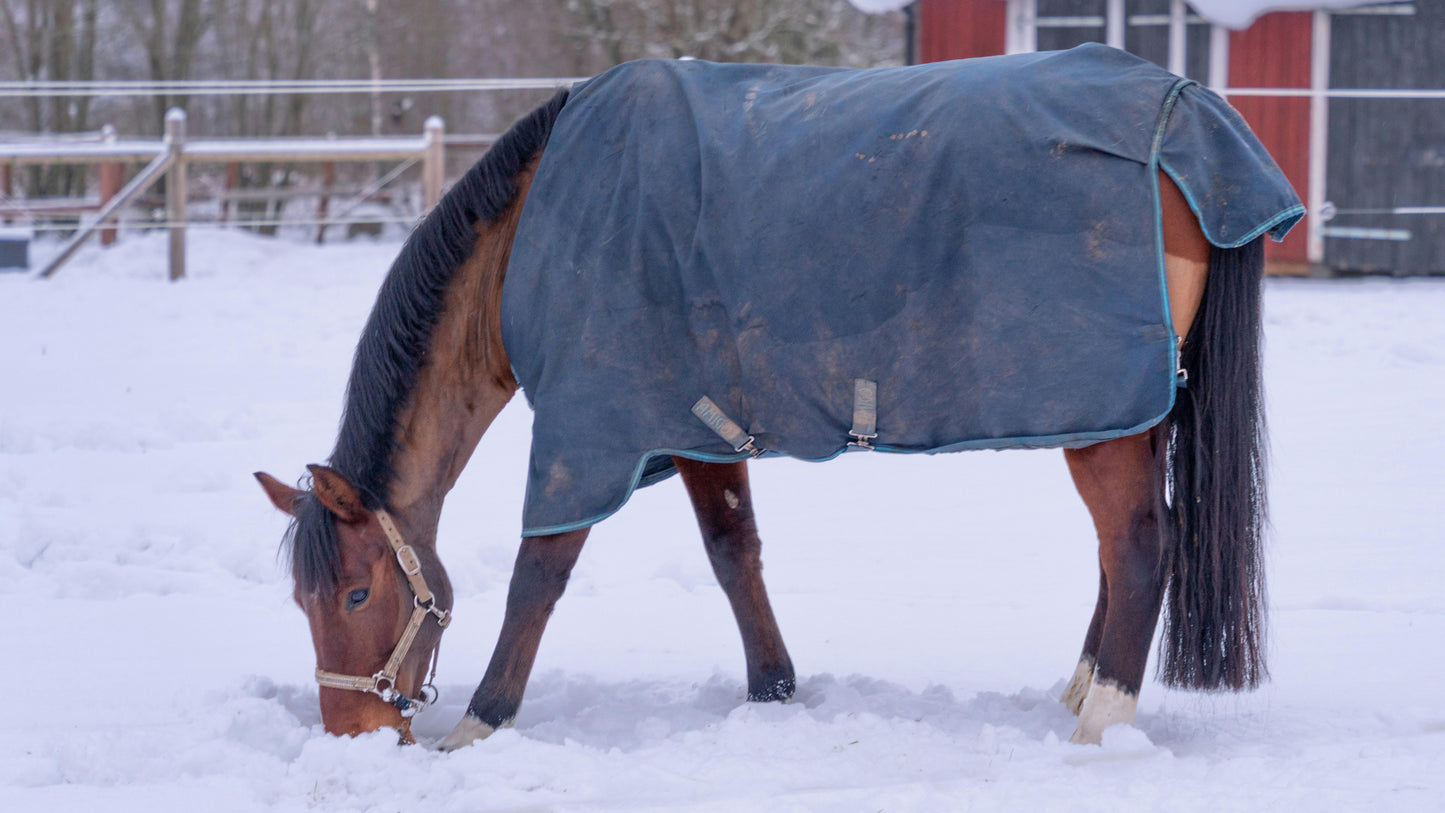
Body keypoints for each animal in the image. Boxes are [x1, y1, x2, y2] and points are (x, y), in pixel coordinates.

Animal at [256, 46, 1298, 749]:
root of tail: (1189, 114)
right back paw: (1081, 693)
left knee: (1138, 547)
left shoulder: (586, 431)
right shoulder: (696, 424)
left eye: (356, 590)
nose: (351, 730)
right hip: (1129, 411)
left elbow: (539, 573)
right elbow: (733, 554)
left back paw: (1100, 725)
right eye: (301, 597)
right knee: (1121, 550)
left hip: (1104, 417)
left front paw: (482, 721)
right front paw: (773, 690)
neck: (534, 230)